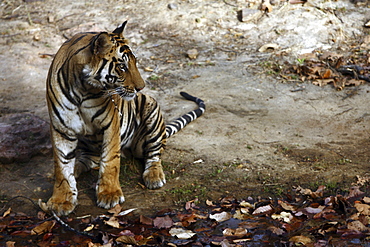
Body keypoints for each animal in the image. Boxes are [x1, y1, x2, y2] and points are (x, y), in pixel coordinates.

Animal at [46, 20, 205, 215]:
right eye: (122, 67)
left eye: (135, 63)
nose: (141, 87)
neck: (82, 89)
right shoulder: (61, 128)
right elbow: (62, 166)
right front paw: (61, 200)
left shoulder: (110, 123)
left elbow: (110, 160)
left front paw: (109, 194)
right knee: (88, 159)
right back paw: (75, 168)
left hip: (151, 110)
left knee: (154, 155)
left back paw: (154, 177)